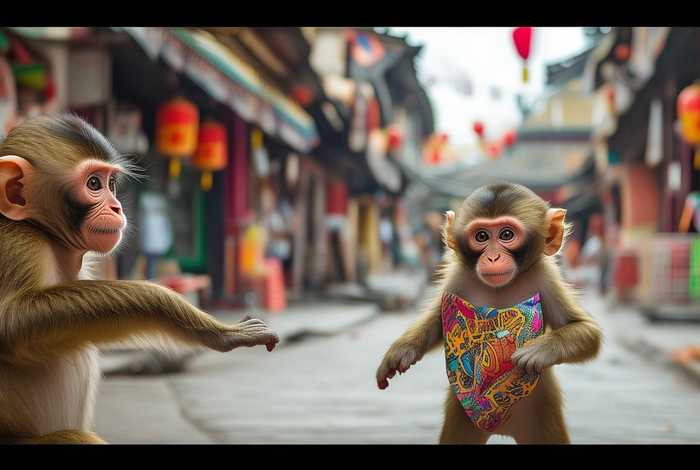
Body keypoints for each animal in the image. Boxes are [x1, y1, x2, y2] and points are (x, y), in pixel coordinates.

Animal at [0, 114, 280, 444]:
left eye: (110, 184)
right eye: (93, 184)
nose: (116, 207)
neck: (42, 231)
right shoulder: (19, 243)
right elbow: (13, 321)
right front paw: (218, 331)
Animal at [376, 183, 602, 444]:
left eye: (506, 235)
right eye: (481, 236)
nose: (493, 257)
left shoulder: (546, 278)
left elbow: (585, 329)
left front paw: (538, 350)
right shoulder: (459, 277)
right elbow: (438, 322)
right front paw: (400, 352)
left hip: (542, 410)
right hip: (464, 415)